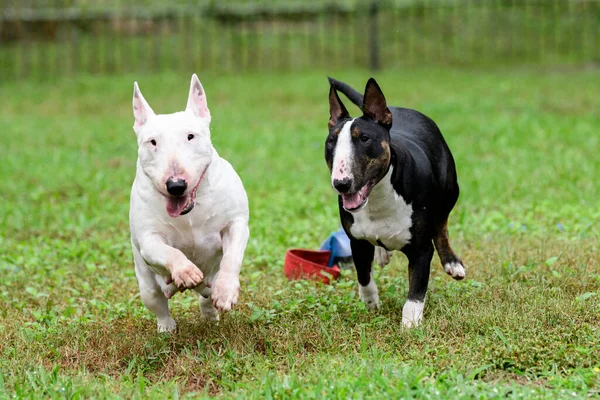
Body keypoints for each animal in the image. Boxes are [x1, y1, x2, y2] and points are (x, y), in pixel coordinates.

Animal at [129, 73, 248, 332]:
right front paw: (185, 271)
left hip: (208, 283)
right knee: (158, 302)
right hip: (147, 284)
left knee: (206, 296)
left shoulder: (236, 224)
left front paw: (226, 292)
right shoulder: (148, 239)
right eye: (152, 142)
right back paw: (166, 327)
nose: (176, 185)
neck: (189, 213)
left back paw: (211, 312)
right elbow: (168, 251)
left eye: (191, 136)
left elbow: (232, 256)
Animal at [326, 78, 466, 328]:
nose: (341, 184)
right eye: (331, 141)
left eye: (364, 138)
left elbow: (416, 292)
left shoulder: (421, 249)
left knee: (441, 225)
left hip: (451, 190)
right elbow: (364, 277)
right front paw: (371, 305)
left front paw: (410, 325)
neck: (378, 200)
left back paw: (452, 263)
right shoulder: (357, 242)